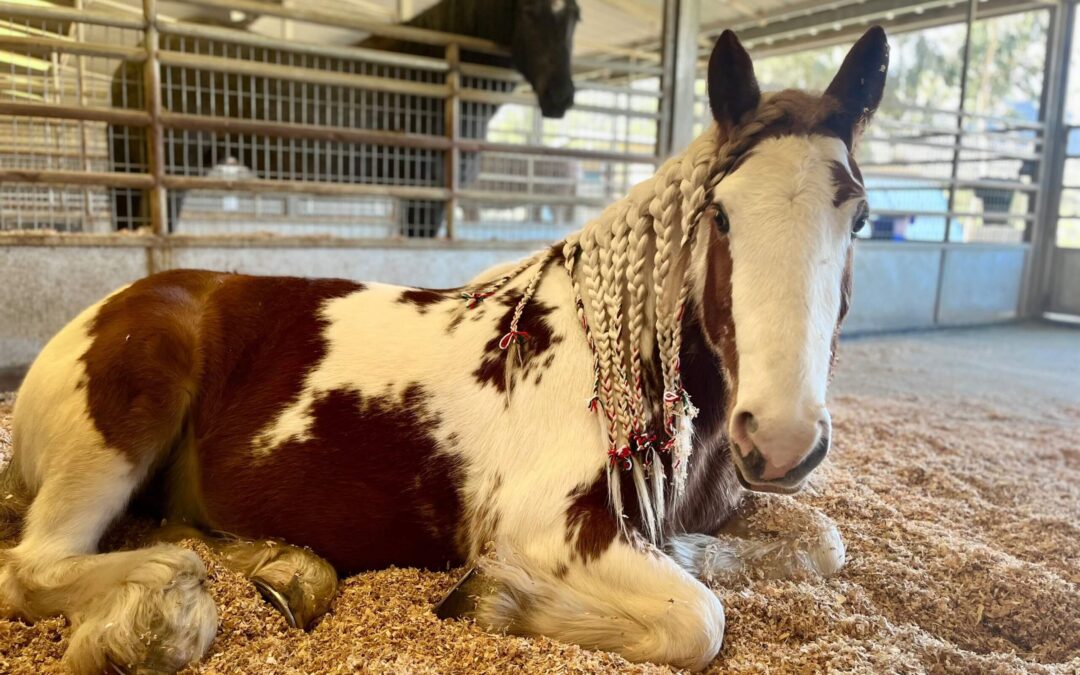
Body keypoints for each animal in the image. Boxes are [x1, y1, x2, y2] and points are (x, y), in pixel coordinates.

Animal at [1, 27, 888, 672]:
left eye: (861, 216)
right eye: (722, 215)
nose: (780, 438)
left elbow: (823, 542)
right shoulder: (553, 526)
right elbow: (699, 619)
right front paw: (496, 597)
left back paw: (281, 568)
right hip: (120, 424)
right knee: (35, 565)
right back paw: (160, 608)